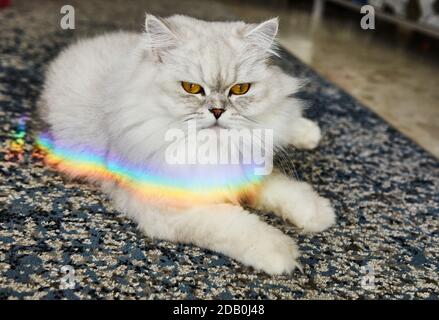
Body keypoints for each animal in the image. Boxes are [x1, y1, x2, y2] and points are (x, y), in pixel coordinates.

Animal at [40, 14, 336, 276]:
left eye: (240, 90)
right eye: (191, 88)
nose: (217, 111)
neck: (210, 151)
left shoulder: (248, 166)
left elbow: (286, 191)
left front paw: (320, 213)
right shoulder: (170, 210)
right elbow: (241, 226)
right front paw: (283, 253)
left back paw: (308, 132)